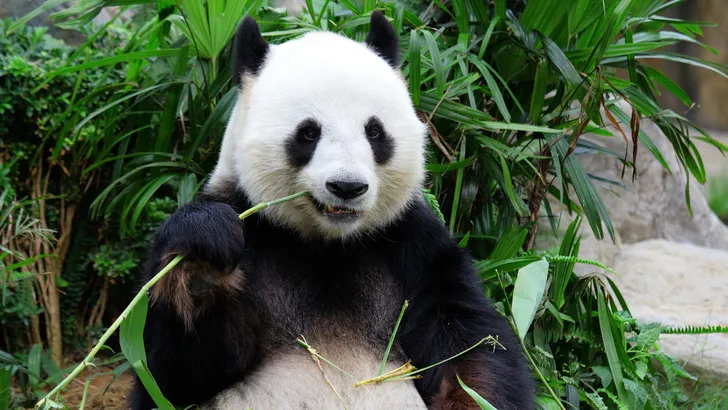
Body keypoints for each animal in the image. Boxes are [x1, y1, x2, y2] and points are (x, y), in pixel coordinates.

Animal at [130, 11, 534, 410]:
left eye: (374, 132)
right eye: (308, 133)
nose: (347, 187)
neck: (328, 244)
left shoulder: (413, 244)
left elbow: (470, 345)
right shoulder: (251, 225)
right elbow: (175, 374)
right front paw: (202, 258)